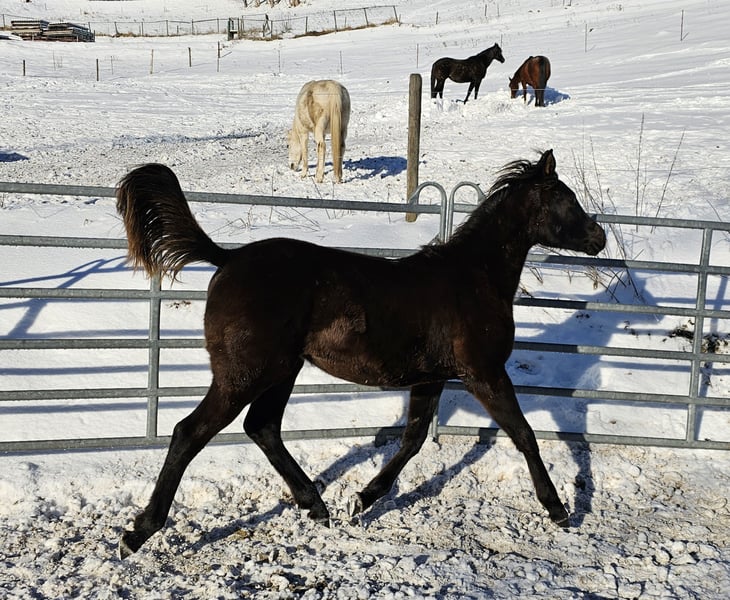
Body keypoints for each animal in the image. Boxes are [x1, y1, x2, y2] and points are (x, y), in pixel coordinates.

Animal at [115, 150, 606, 558]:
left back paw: (316, 507)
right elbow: (524, 434)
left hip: (282, 370)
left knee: (263, 427)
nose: (599, 238)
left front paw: (363, 499)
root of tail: (228, 260)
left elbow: (412, 439)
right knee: (189, 432)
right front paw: (559, 510)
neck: (474, 279)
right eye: (565, 198)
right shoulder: (484, 372)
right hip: (244, 374)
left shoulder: (431, 378)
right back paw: (137, 533)